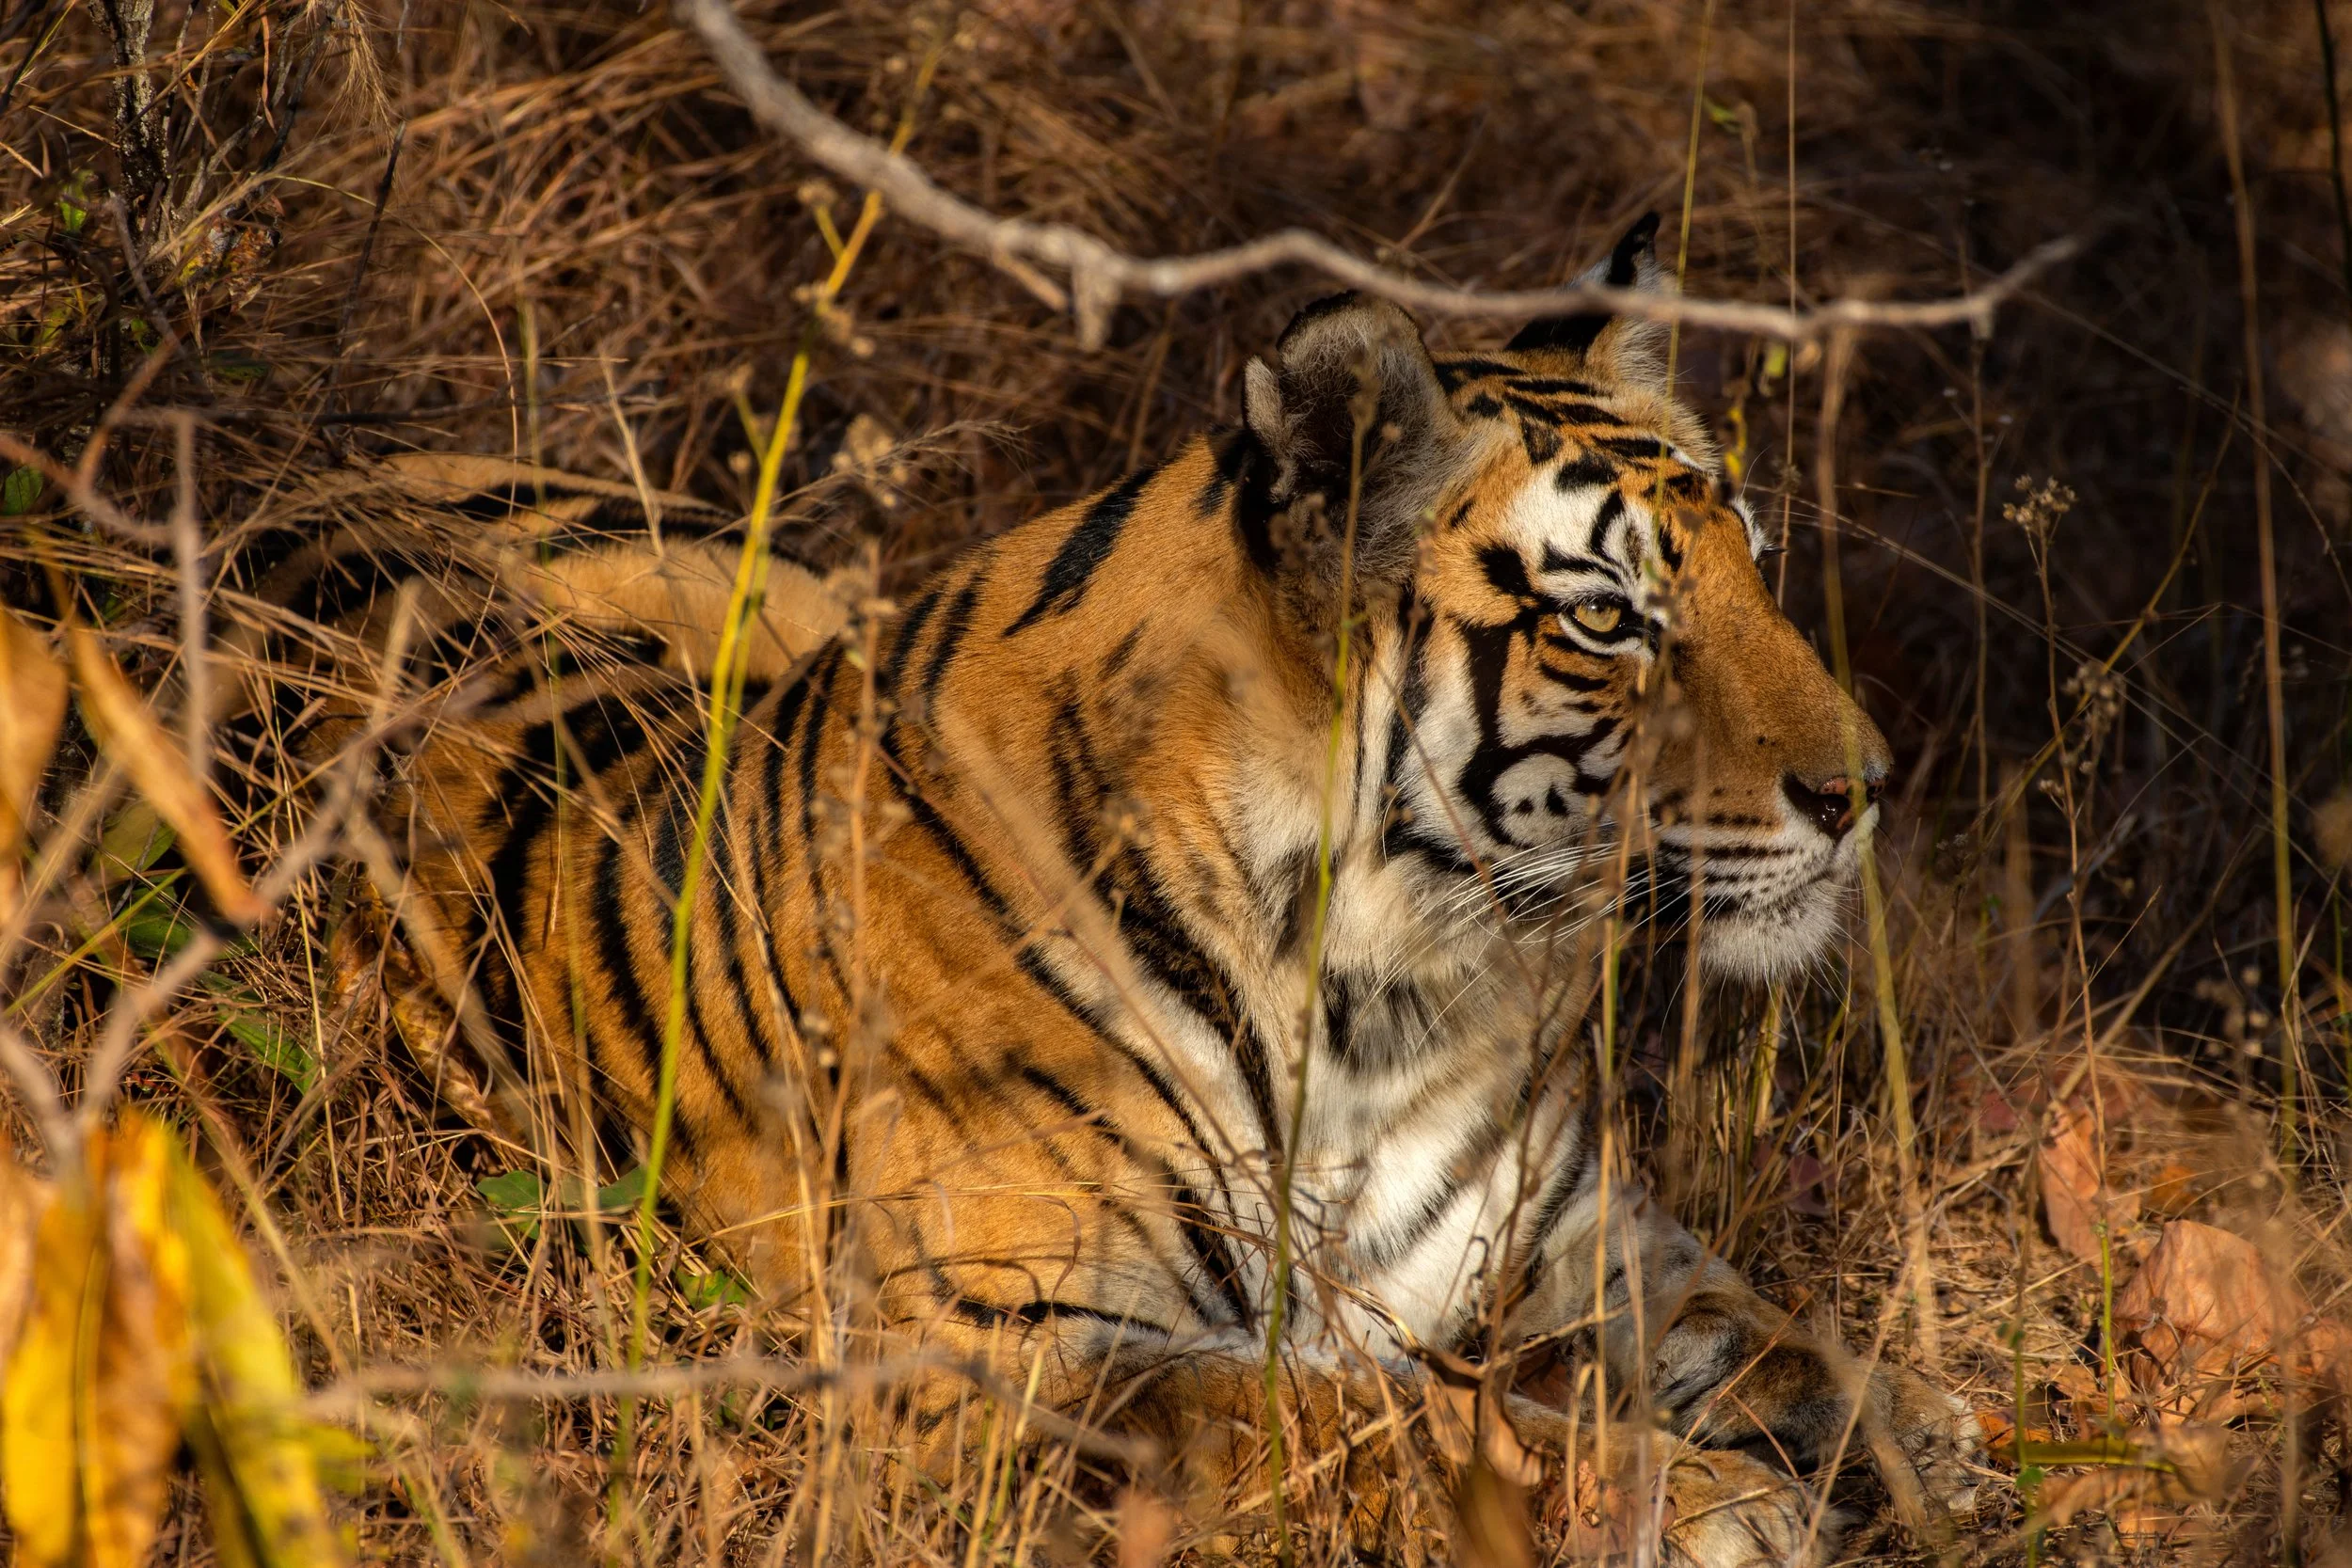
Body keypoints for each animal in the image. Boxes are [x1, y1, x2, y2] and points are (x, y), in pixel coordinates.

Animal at [235, 215, 1980, 1565]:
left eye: (1755, 560)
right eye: (1608, 618)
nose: (1866, 786)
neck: (1398, 988)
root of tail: (291, 462)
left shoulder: (1579, 1233)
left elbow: (1772, 1322)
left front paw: (1930, 1434)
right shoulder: (1015, 1351)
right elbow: (1382, 1420)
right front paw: (1717, 1499)